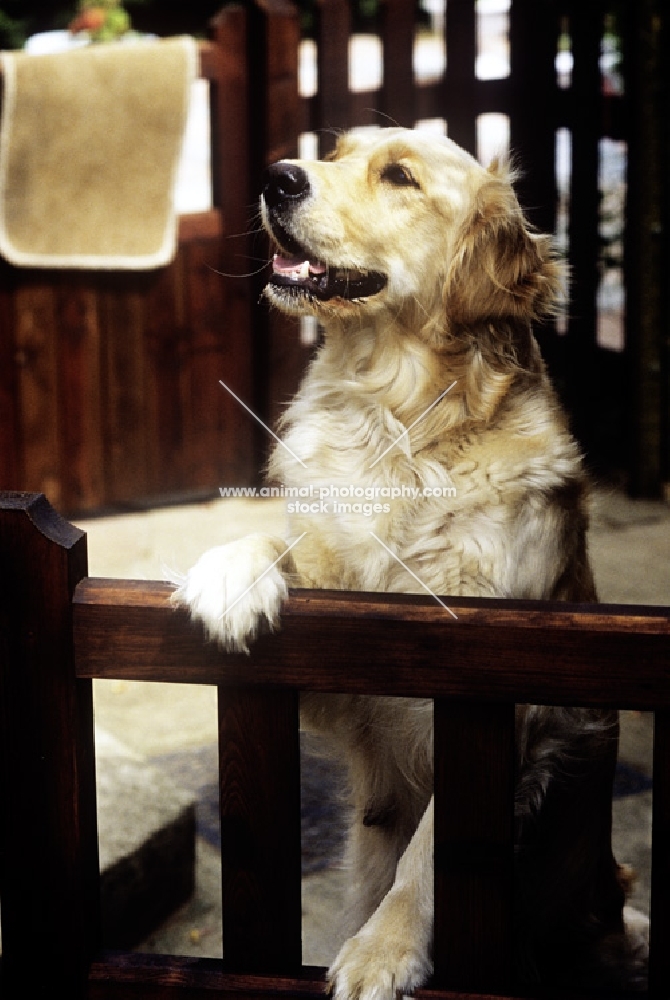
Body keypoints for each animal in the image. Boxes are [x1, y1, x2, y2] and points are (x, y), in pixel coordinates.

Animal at [175, 129, 652, 996]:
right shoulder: (344, 668)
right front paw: (229, 574)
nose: (276, 177)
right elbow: (279, 545)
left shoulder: (502, 703)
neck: (393, 417)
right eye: (333, 152)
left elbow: (433, 851)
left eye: (399, 175)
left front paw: (384, 951)